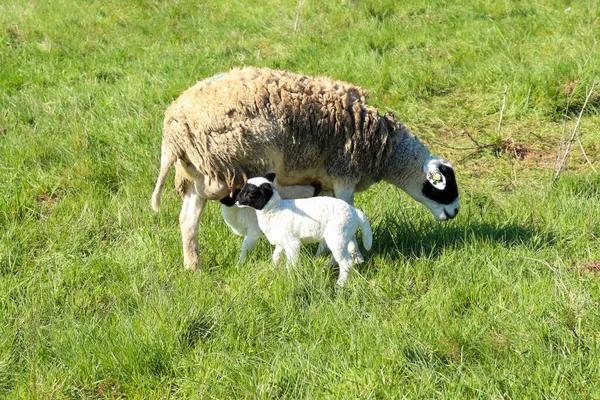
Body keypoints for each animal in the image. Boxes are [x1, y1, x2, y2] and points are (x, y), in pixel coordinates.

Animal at [151, 67, 460, 270]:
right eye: (444, 185)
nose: (455, 212)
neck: (384, 150)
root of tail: (173, 128)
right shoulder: (344, 173)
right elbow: (347, 208)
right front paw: (354, 255)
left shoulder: (326, 182)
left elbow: (328, 208)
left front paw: (326, 251)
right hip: (231, 163)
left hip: (195, 172)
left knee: (188, 221)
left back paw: (194, 266)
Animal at [236, 177, 372, 286]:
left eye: (250, 193)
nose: (236, 200)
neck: (276, 209)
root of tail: (354, 212)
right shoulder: (281, 243)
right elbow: (276, 258)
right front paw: (273, 271)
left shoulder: (292, 243)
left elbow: (290, 264)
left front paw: (290, 278)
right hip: (342, 237)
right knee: (338, 257)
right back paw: (325, 268)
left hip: (338, 236)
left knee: (346, 262)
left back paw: (340, 284)